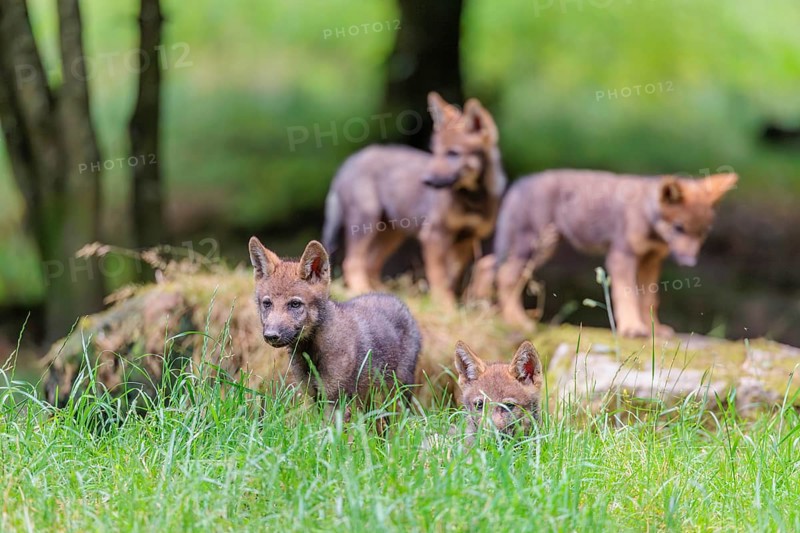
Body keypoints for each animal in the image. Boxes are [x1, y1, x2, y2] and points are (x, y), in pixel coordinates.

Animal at [248, 237, 422, 417]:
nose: (271, 335)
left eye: (295, 304)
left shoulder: (336, 399)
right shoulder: (315, 396)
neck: (312, 354)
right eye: (267, 304)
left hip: (398, 390)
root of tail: (395, 300)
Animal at [322, 92, 506, 305]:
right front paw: (445, 306)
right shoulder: (434, 236)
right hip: (365, 223)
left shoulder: (467, 240)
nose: (426, 180)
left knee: (370, 263)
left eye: (453, 153)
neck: (472, 198)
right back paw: (361, 290)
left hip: (390, 233)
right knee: (352, 262)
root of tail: (347, 163)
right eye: (435, 152)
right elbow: (439, 277)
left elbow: (451, 277)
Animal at [485, 170, 738, 337]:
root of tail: (519, 184)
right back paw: (517, 321)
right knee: (505, 276)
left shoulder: (651, 260)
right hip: (536, 248)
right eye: (679, 228)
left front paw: (653, 328)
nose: (689, 262)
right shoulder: (622, 256)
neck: (647, 217)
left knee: (489, 267)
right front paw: (632, 327)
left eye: (704, 233)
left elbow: (649, 299)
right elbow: (627, 295)